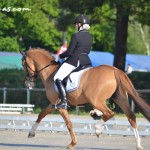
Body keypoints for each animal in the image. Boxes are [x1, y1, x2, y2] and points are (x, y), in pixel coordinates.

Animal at [20, 48, 150, 149]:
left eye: (24, 65)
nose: (27, 83)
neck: (50, 72)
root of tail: (115, 70)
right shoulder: (53, 104)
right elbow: (41, 114)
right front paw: (31, 132)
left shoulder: (60, 105)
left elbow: (68, 123)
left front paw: (72, 143)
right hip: (119, 98)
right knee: (131, 116)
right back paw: (138, 145)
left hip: (96, 100)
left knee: (110, 113)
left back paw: (97, 129)